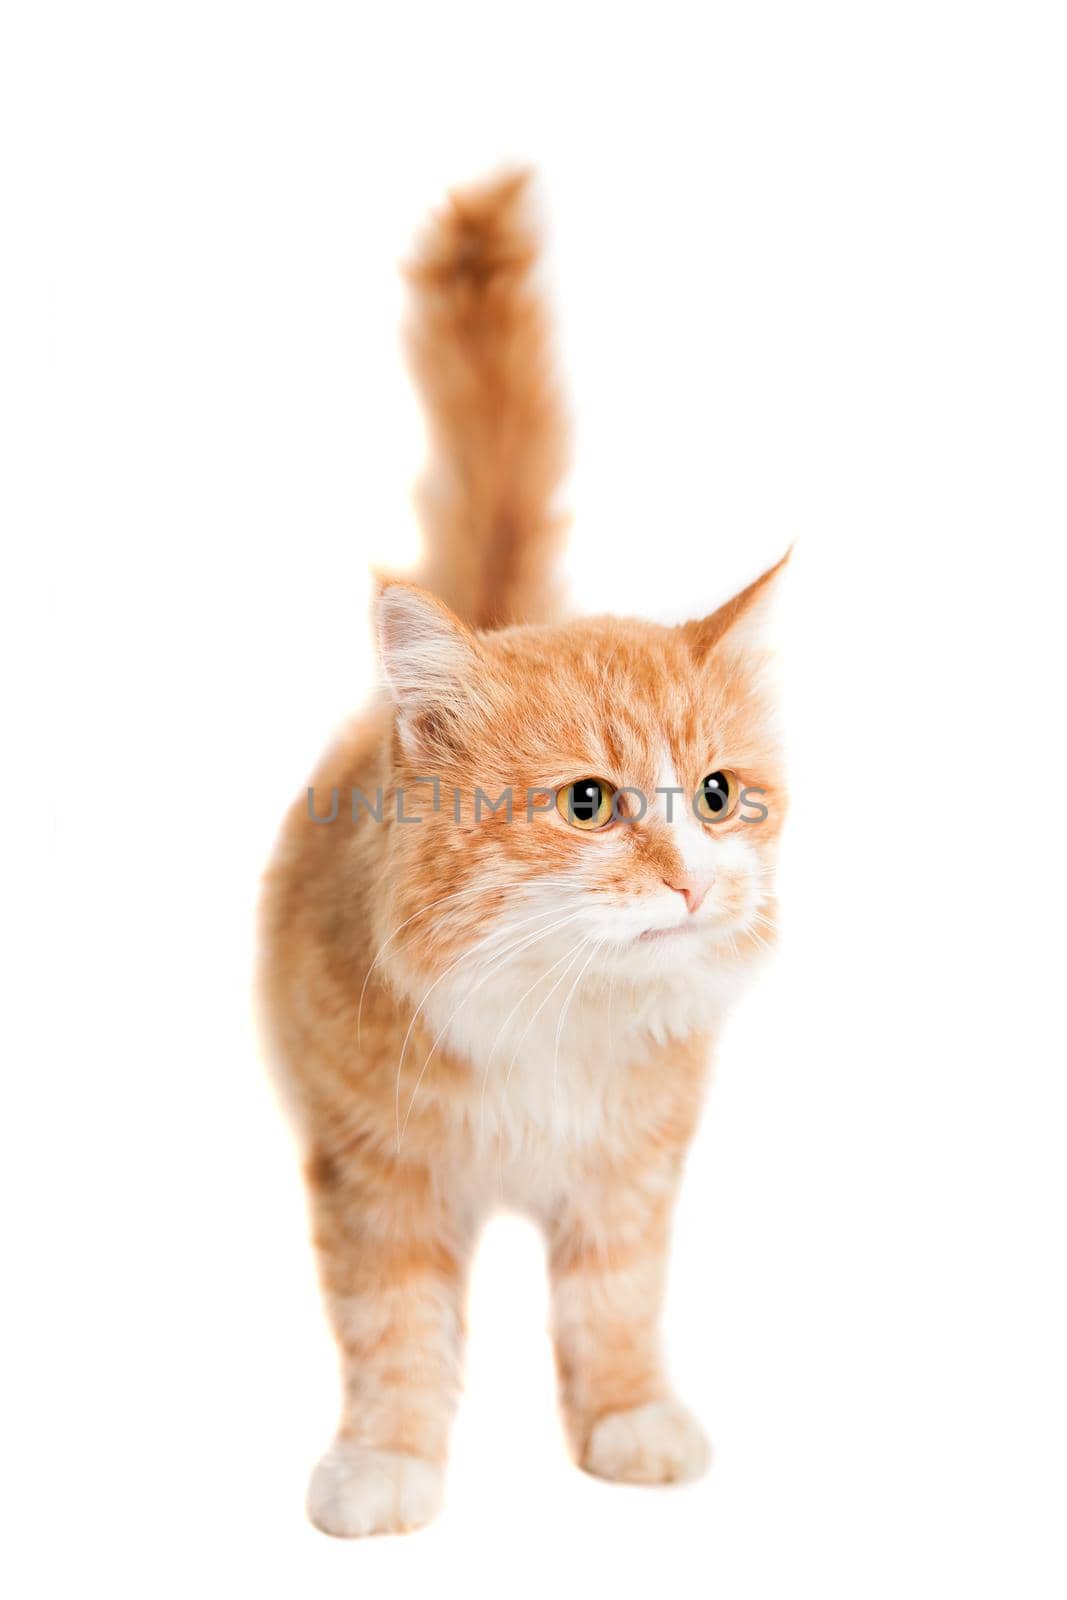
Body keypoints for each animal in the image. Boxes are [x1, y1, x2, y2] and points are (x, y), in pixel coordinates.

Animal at [262, 168, 790, 1529]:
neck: (553, 1017)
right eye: (588, 804)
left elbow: (614, 1304)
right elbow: (393, 1328)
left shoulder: (632, 1169)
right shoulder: (372, 1169)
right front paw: (386, 1462)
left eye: (717, 795)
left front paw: (626, 1421)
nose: (690, 878)